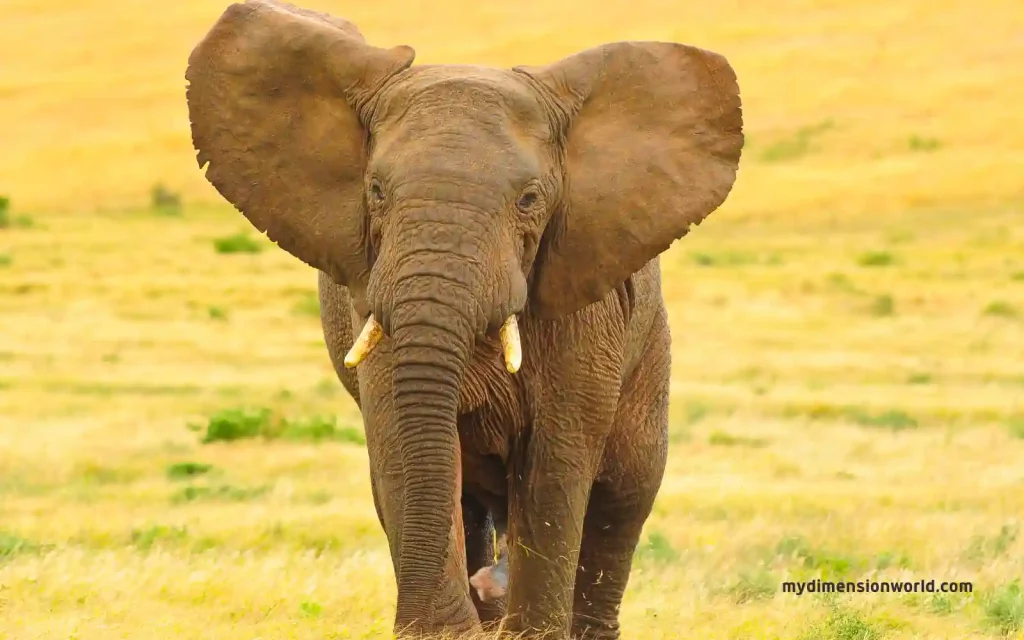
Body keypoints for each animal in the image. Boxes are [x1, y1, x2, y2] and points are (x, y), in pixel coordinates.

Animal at [186, 1, 745, 634]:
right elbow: (403, 446)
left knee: (624, 497)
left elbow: (556, 461)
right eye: (375, 191)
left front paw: (529, 633)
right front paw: (446, 631)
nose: (485, 591)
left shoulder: (585, 308)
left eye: (529, 199)